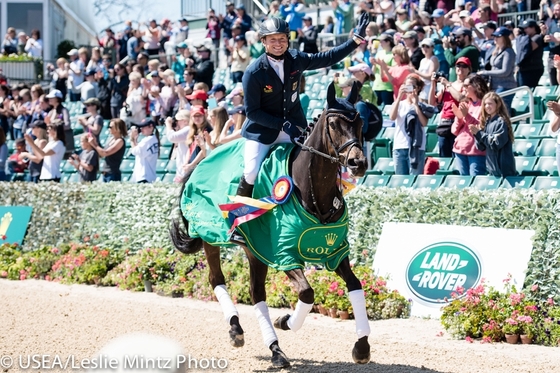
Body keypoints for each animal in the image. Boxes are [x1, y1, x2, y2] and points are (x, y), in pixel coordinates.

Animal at [171, 80, 372, 368]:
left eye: (360, 123)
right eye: (334, 124)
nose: (358, 163)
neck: (312, 192)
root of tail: (202, 160)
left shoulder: (335, 250)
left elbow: (355, 285)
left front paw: (362, 346)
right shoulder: (284, 254)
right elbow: (307, 293)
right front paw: (285, 321)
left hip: (255, 250)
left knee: (257, 293)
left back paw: (274, 349)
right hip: (212, 238)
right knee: (216, 279)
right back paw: (238, 331)